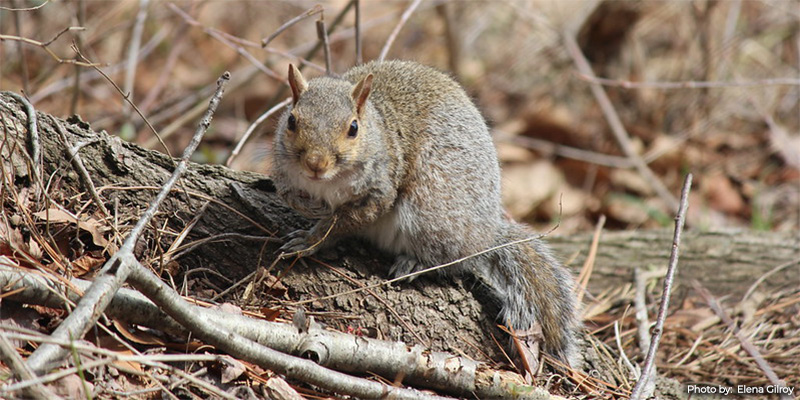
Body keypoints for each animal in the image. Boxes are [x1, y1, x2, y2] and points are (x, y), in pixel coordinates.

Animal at [272, 59, 580, 366]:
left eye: (353, 128)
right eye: (291, 120)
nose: (316, 164)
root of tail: (486, 235)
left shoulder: (380, 190)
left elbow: (344, 223)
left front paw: (312, 240)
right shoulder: (285, 172)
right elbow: (287, 194)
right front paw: (309, 208)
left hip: (430, 212)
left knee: (447, 258)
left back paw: (416, 263)